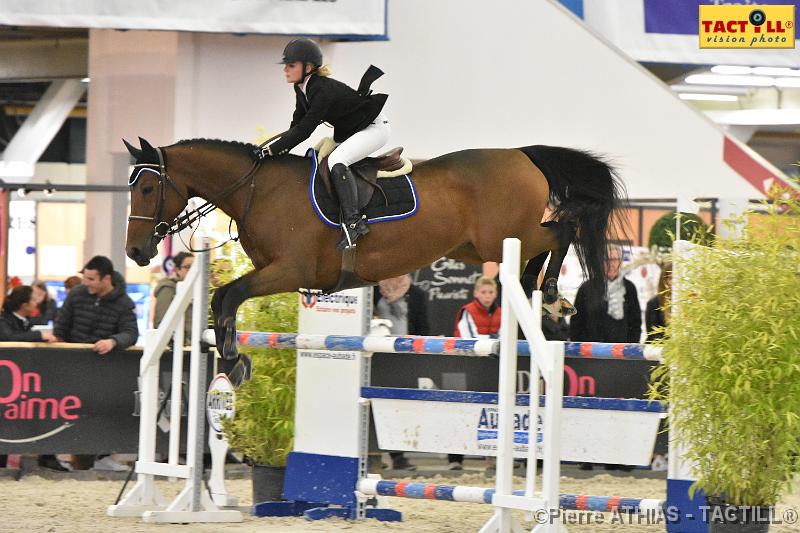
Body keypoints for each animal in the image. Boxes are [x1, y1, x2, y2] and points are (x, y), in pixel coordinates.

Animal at [125, 137, 624, 376]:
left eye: (148, 188)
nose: (135, 251)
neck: (257, 190)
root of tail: (523, 154)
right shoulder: (274, 271)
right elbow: (221, 300)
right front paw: (231, 355)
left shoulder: (287, 270)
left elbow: (226, 297)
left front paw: (234, 360)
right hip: (476, 246)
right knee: (539, 248)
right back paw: (537, 294)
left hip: (499, 238)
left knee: (563, 229)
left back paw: (553, 294)